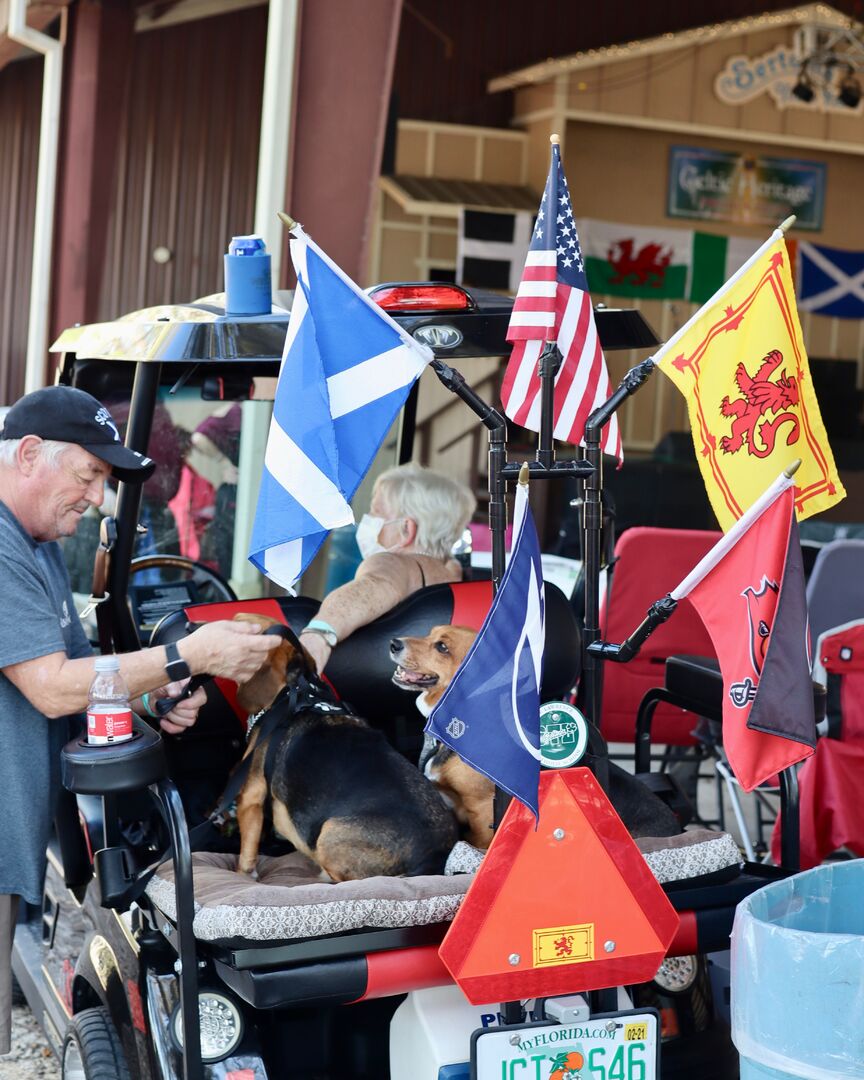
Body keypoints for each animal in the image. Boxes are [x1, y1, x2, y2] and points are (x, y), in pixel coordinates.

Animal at [228, 613, 457, 881]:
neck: (292, 690)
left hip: (329, 832)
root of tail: (433, 858)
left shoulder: (250, 794)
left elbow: (247, 851)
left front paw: (243, 873)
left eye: (241, 628)